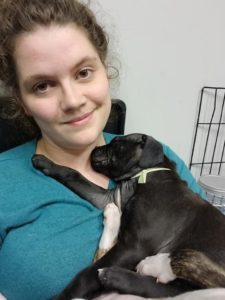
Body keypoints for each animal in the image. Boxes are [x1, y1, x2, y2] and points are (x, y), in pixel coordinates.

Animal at [32, 134, 225, 300]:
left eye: (116, 142)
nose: (94, 148)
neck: (142, 176)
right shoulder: (109, 198)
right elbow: (73, 174)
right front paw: (46, 162)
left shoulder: (133, 246)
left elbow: (86, 274)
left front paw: (65, 295)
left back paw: (117, 274)